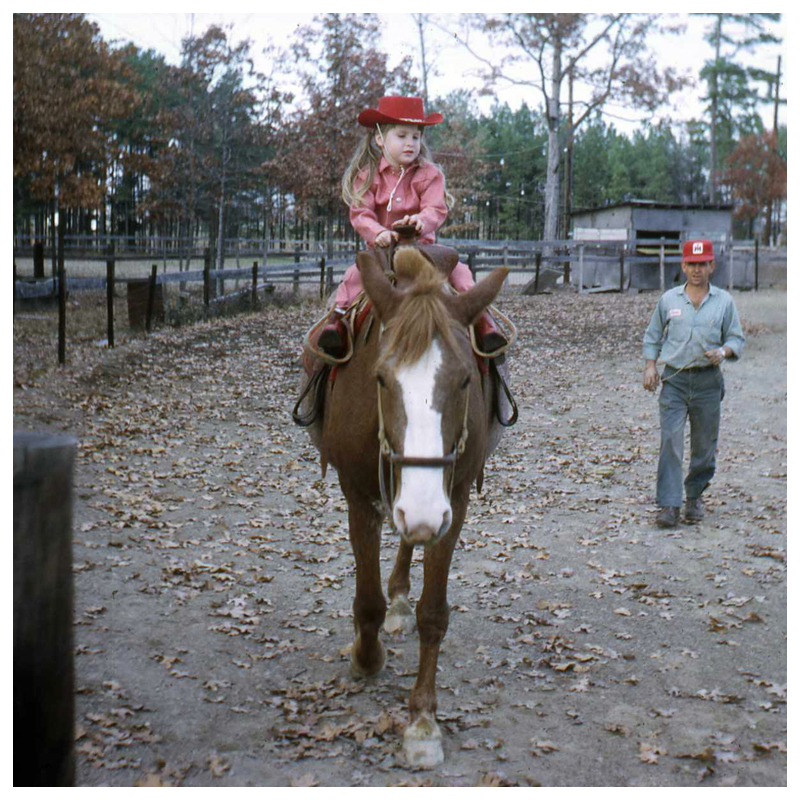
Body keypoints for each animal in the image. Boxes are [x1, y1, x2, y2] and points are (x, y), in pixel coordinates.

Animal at [294, 242, 513, 768]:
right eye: (380, 378)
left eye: (463, 381)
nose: (422, 510)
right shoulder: (358, 496)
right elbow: (367, 600)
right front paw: (366, 657)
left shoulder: (454, 501)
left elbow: (433, 614)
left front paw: (422, 723)